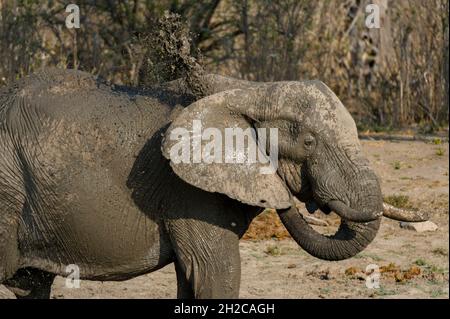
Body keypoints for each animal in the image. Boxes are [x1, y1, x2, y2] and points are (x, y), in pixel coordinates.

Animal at [0, 68, 414, 300]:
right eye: (309, 142)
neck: (247, 90)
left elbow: (193, 279)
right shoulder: (188, 191)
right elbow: (214, 273)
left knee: (33, 286)